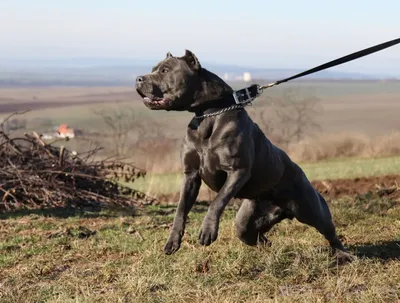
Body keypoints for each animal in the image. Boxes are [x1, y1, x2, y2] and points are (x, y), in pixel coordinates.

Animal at [137, 49, 354, 262]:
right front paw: (173, 240)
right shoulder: (190, 175)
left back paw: (344, 254)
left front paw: (207, 230)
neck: (208, 114)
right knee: (258, 237)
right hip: (246, 223)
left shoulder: (237, 171)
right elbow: (181, 209)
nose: (138, 78)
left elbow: (217, 201)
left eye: (165, 71)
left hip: (312, 210)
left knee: (330, 232)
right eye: (153, 69)